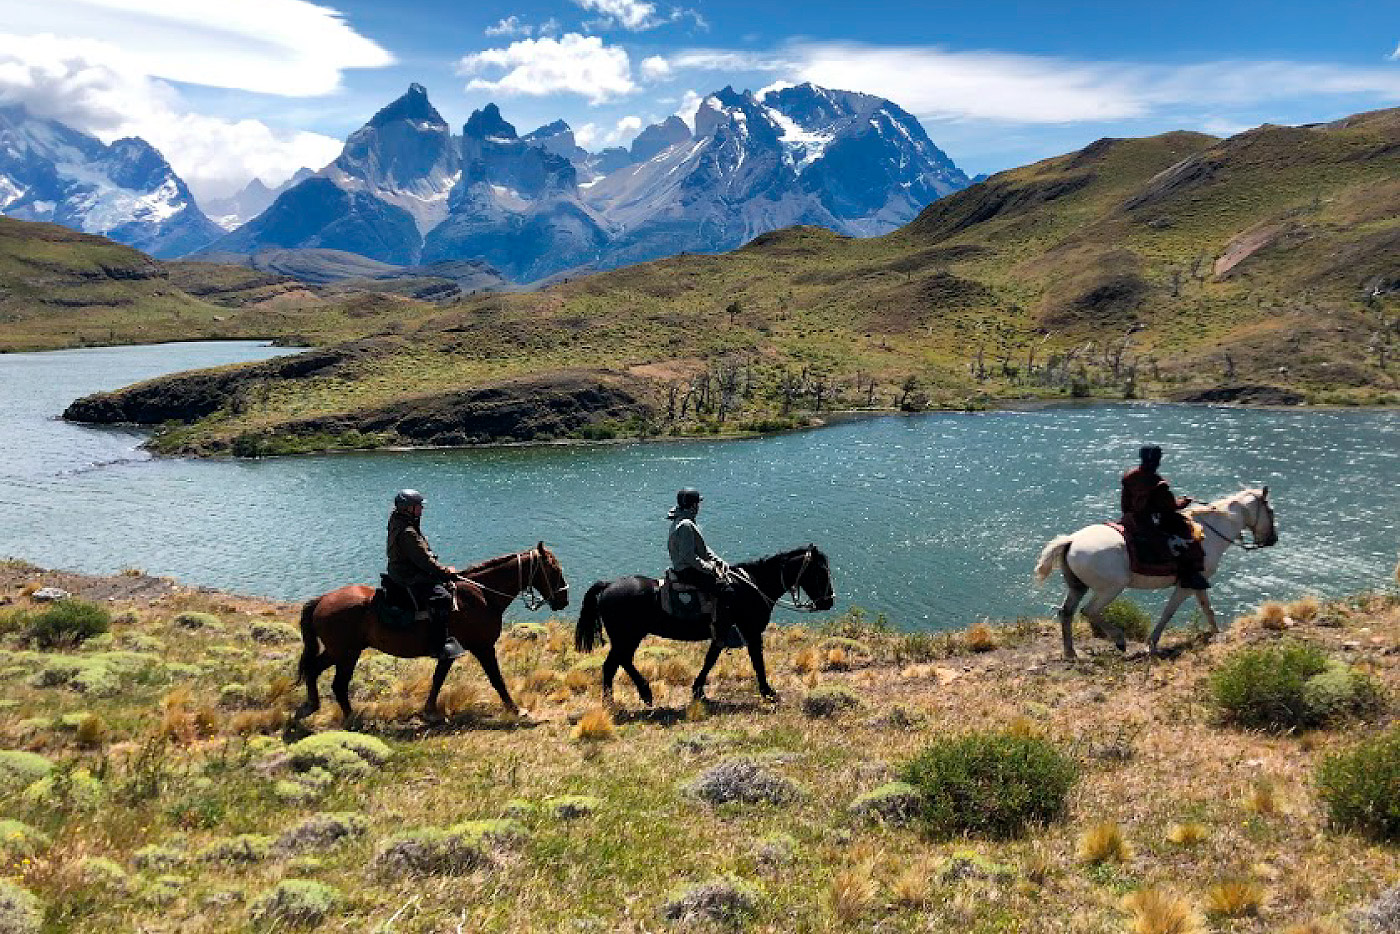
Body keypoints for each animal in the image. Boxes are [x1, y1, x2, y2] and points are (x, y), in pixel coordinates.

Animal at [295, 543, 568, 722]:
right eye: (554, 570)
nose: (563, 600)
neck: (483, 594)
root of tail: (321, 600)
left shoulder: (450, 652)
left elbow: (438, 679)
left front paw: (429, 712)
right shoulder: (483, 647)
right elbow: (496, 679)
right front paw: (516, 709)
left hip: (337, 652)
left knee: (313, 670)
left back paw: (312, 706)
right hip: (347, 654)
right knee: (338, 684)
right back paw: (353, 719)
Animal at [571, 543, 828, 705]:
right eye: (821, 572)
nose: (829, 601)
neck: (752, 586)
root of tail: (607, 585)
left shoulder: (722, 633)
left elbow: (710, 660)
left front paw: (698, 692)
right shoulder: (751, 632)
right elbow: (757, 661)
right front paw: (768, 692)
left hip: (627, 637)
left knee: (616, 664)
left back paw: (622, 697)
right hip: (628, 636)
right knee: (615, 663)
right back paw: (636, 695)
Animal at [1036, 490, 1276, 658]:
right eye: (1271, 511)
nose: (1272, 540)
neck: (1209, 533)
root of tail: (1071, 540)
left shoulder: (1198, 583)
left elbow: (1208, 609)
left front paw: (1216, 633)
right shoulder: (1186, 585)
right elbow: (1168, 613)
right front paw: (1152, 643)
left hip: (1078, 586)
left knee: (1066, 613)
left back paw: (1070, 652)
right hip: (1110, 589)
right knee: (1089, 611)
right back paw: (1119, 640)